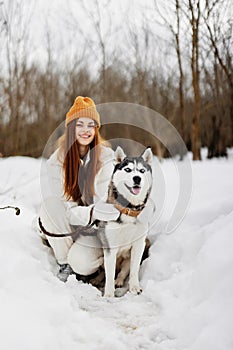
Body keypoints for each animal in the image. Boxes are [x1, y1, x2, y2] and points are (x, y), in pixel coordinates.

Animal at [97, 146, 154, 296]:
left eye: (142, 170)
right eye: (128, 170)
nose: (137, 178)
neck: (129, 209)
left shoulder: (139, 244)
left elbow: (134, 269)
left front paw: (134, 287)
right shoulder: (110, 246)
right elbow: (109, 273)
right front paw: (108, 294)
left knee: (123, 272)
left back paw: (119, 281)